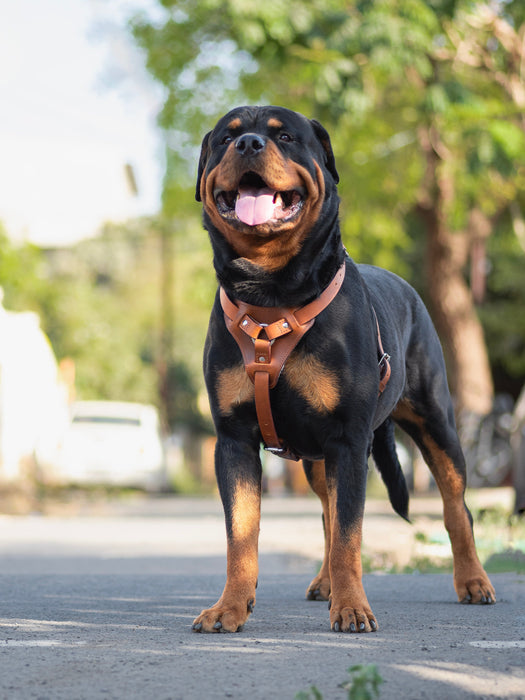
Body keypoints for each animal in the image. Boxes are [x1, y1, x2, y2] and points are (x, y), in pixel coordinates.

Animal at [192, 104, 496, 636]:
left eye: (285, 137)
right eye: (226, 139)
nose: (249, 144)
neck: (271, 293)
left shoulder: (349, 440)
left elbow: (352, 534)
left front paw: (353, 608)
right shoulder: (233, 439)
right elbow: (241, 535)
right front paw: (229, 607)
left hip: (437, 424)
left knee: (456, 508)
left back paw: (473, 581)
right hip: (317, 459)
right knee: (327, 515)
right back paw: (324, 583)